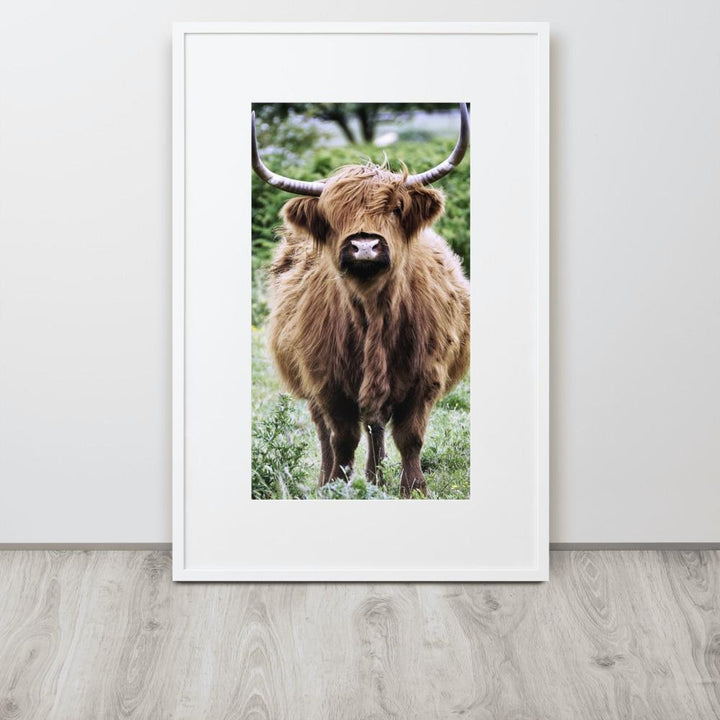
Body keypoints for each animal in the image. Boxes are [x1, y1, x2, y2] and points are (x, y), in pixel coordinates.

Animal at [252, 104, 470, 497]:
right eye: (332, 214)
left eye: (396, 208)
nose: (364, 246)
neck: (373, 312)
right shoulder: (326, 382)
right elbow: (342, 437)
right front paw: (337, 485)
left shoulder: (425, 377)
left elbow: (409, 436)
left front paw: (413, 488)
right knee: (328, 432)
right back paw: (332, 480)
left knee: (376, 424)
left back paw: (375, 477)